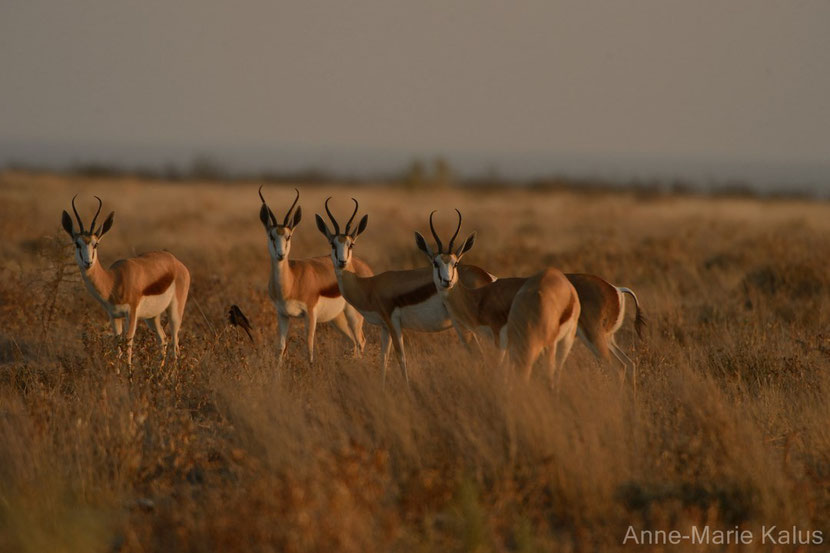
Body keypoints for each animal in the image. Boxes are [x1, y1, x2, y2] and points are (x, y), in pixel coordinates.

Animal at [60, 194, 190, 366]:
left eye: (96, 244)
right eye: (77, 243)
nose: (88, 262)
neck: (113, 281)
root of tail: (176, 262)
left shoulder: (131, 315)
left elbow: (128, 344)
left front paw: (129, 373)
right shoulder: (114, 316)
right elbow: (117, 346)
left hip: (174, 313)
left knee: (175, 342)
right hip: (152, 317)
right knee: (163, 340)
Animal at [260, 187, 374, 366]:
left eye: (288, 236)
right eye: (271, 236)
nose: (281, 254)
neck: (291, 282)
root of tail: (364, 266)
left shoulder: (310, 314)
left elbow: (309, 346)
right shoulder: (283, 314)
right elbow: (281, 347)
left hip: (354, 314)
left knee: (360, 340)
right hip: (337, 318)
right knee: (353, 342)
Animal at [312, 197, 494, 384]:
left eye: (351, 244)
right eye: (332, 244)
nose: (342, 262)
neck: (370, 286)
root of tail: (487, 276)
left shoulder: (394, 324)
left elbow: (401, 358)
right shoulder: (385, 328)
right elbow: (384, 359)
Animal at [420, 209, 648, 386]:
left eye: (456, 263)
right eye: (435, 263)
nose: (446, 282)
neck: (480, 298)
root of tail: (616, 289)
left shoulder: (499, 338)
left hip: (595, 337)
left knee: (618, 369)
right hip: (607, 339)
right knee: (629, 365)